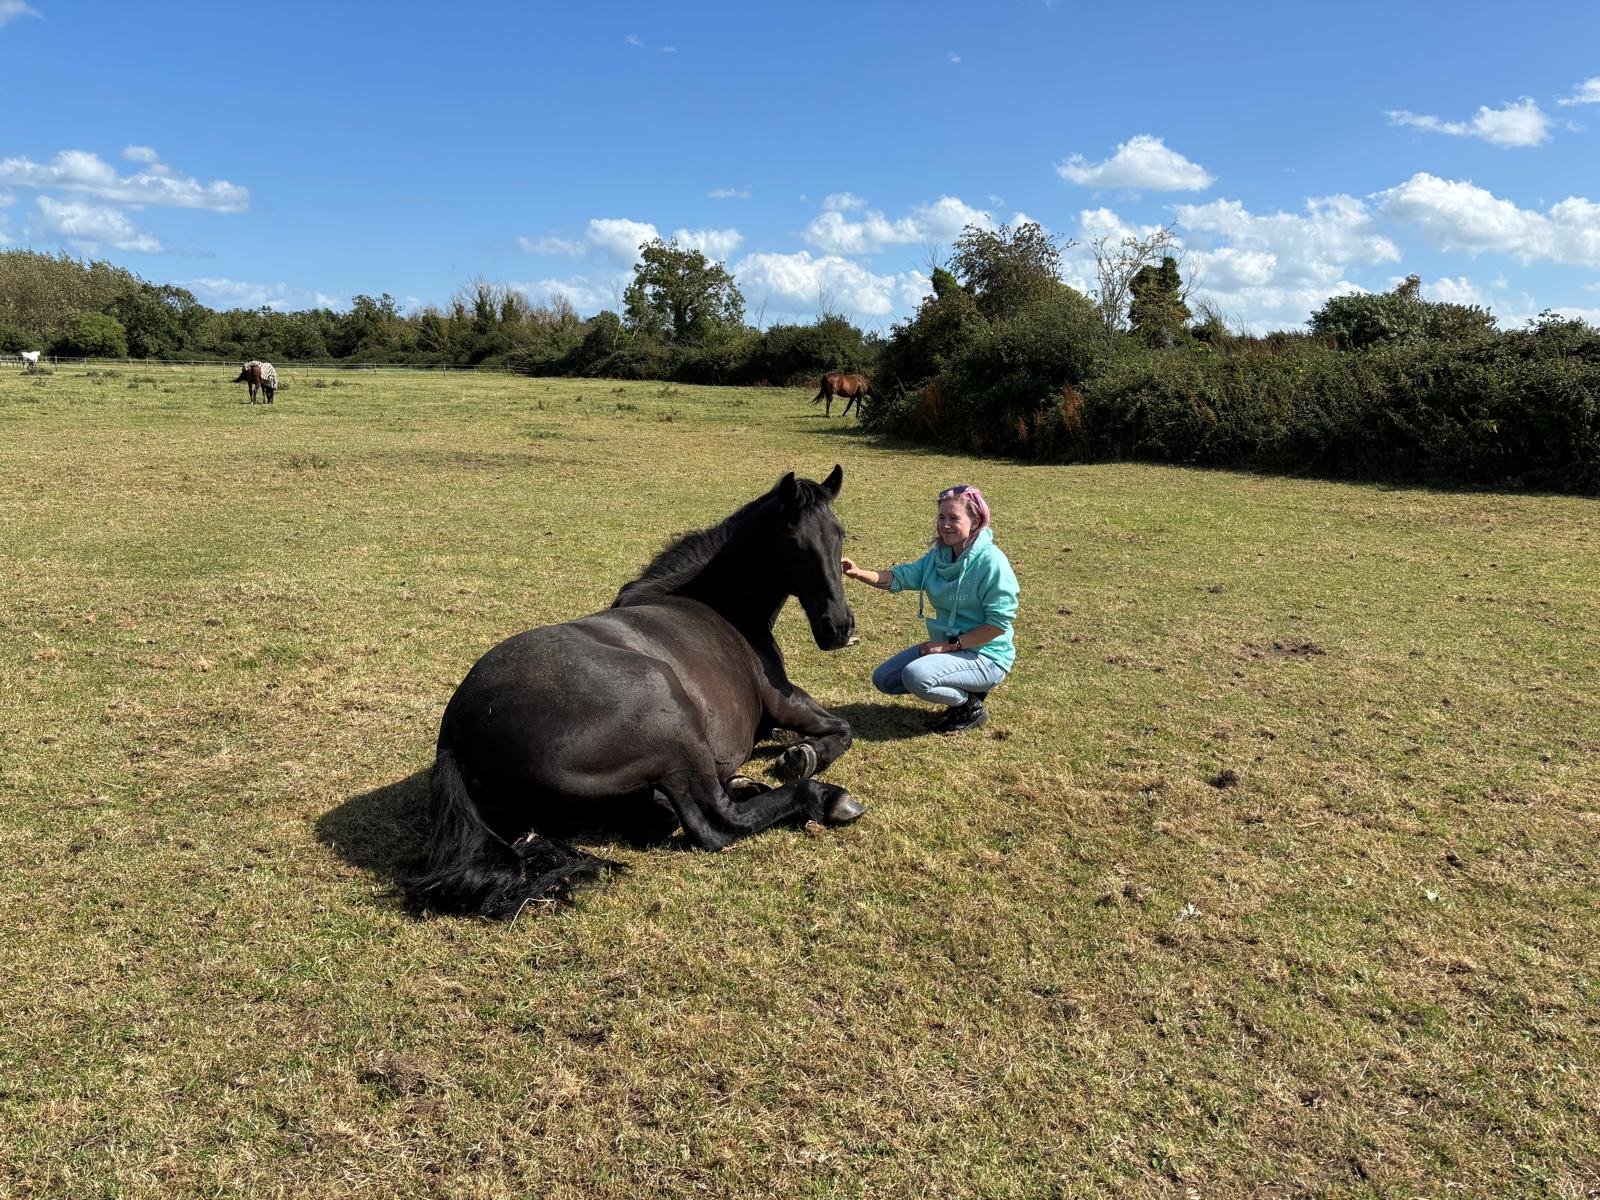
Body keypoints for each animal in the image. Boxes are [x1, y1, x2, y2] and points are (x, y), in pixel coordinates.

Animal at [408, 466, 865, 919]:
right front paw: (803, 757)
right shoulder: (783, 701)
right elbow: (842, 728)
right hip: (671, 715)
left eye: (839, 533)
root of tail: (456, 738)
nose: (838, 627)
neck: (721, 606)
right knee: (716, 824)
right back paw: (826, 798)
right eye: (793, 540)